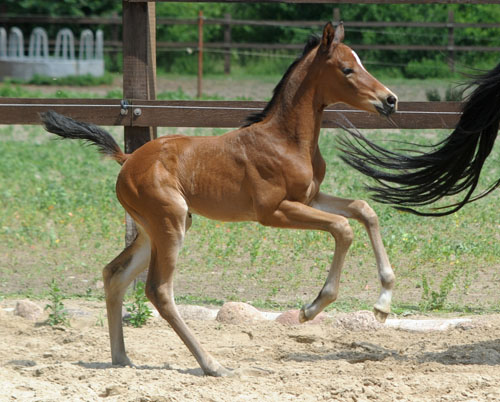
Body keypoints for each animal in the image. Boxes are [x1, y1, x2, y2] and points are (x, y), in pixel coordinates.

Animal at [40, 22, 398, 376]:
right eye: (347, 69)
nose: (390, 100)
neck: (285, 140)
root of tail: (127, 159)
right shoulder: (274, 212)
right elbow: (342, 227)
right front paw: (311, 308)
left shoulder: (310, 198)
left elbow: (364, 210)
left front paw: (382, 304)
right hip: (169, 223)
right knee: (158, 290)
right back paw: (212, 365)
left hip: (156, 228)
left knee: (115, 274)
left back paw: (122, 358)